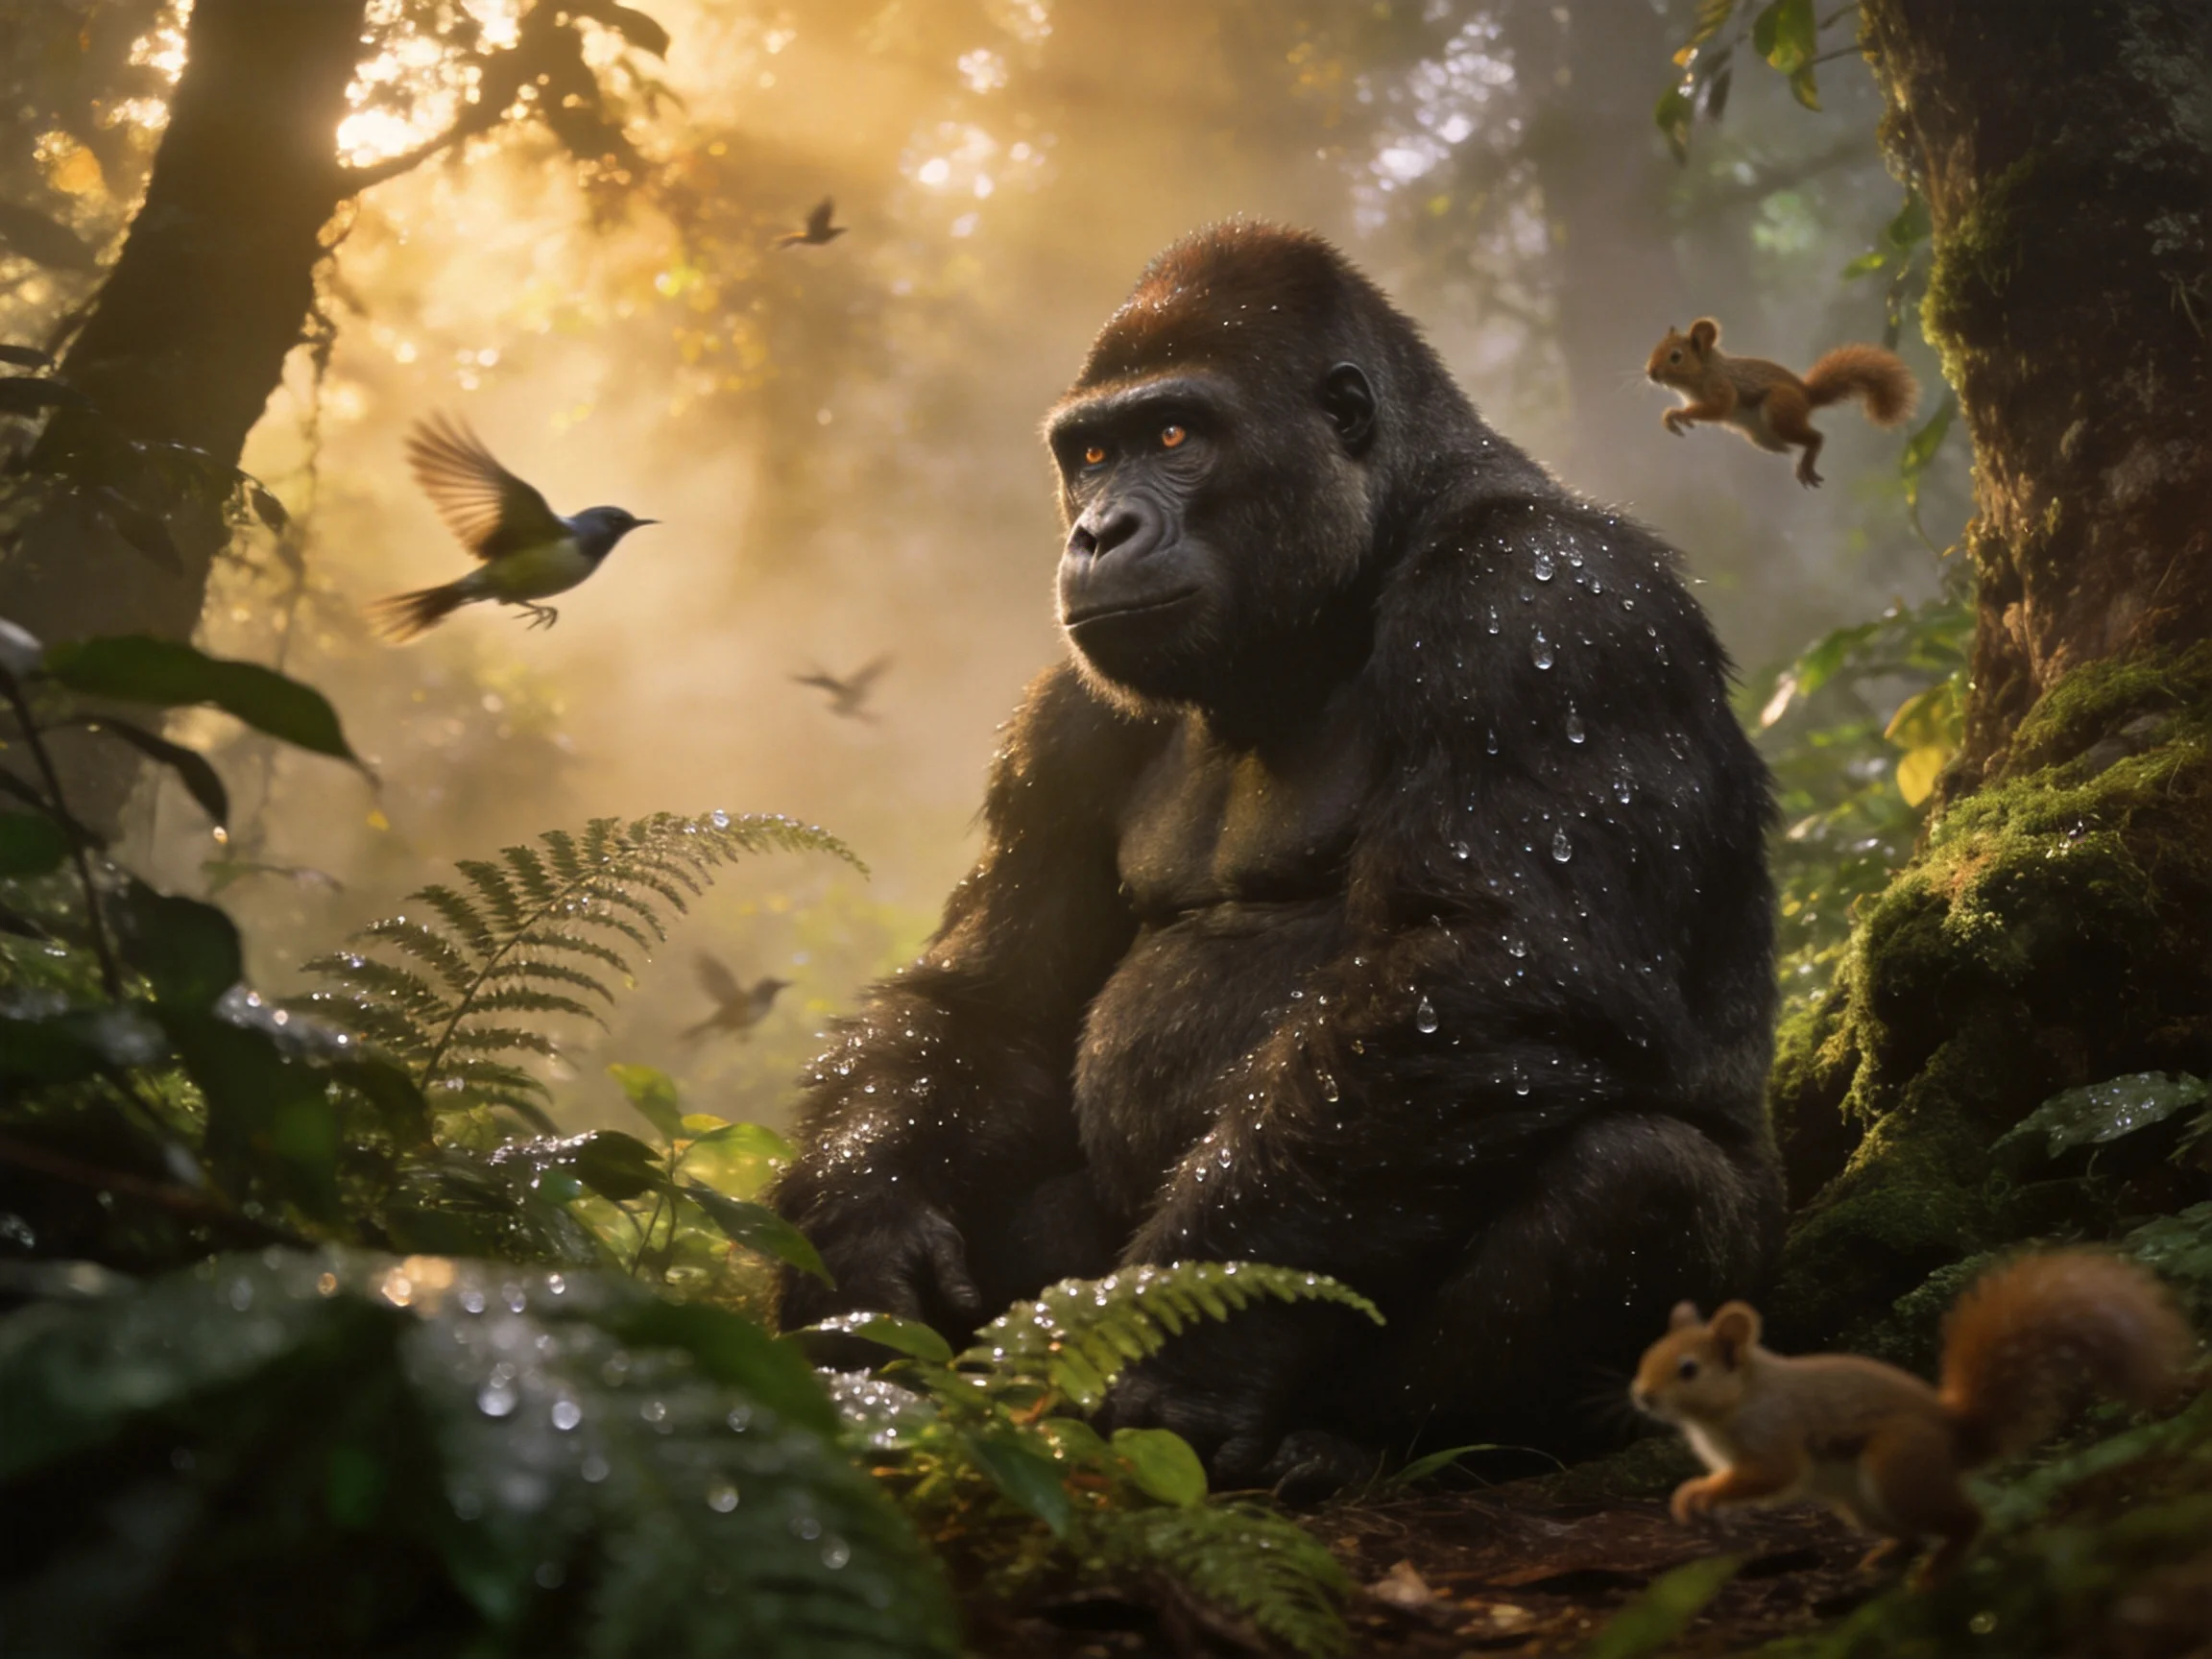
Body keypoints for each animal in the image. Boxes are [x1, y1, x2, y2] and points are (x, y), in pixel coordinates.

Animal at [1631, 1250, 2196, 1581]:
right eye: (1647, 1354)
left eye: (1688, 1370)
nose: (1642, 1396)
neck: (1734, 1403)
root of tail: (1957, 1437)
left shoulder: (1774, 1434)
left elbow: (1774, 1474)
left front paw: (1699, 1494)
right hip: (1862, 1504)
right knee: (1913, 1531)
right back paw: (1885, 1556)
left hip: (1897, 1467)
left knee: (1968, 1520)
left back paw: (1933, 1572)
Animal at [1644, 318, 1917, 487]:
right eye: (1655, 349)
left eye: (1676, 357)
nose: (1651, 372)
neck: (1702, 372)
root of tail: (1806, 396)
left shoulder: (1721, 387)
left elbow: (1720, 406)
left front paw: (1676, 414)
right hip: (1763, 436)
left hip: (1779, 410)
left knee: (1816, 437)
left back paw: (1808, 461)